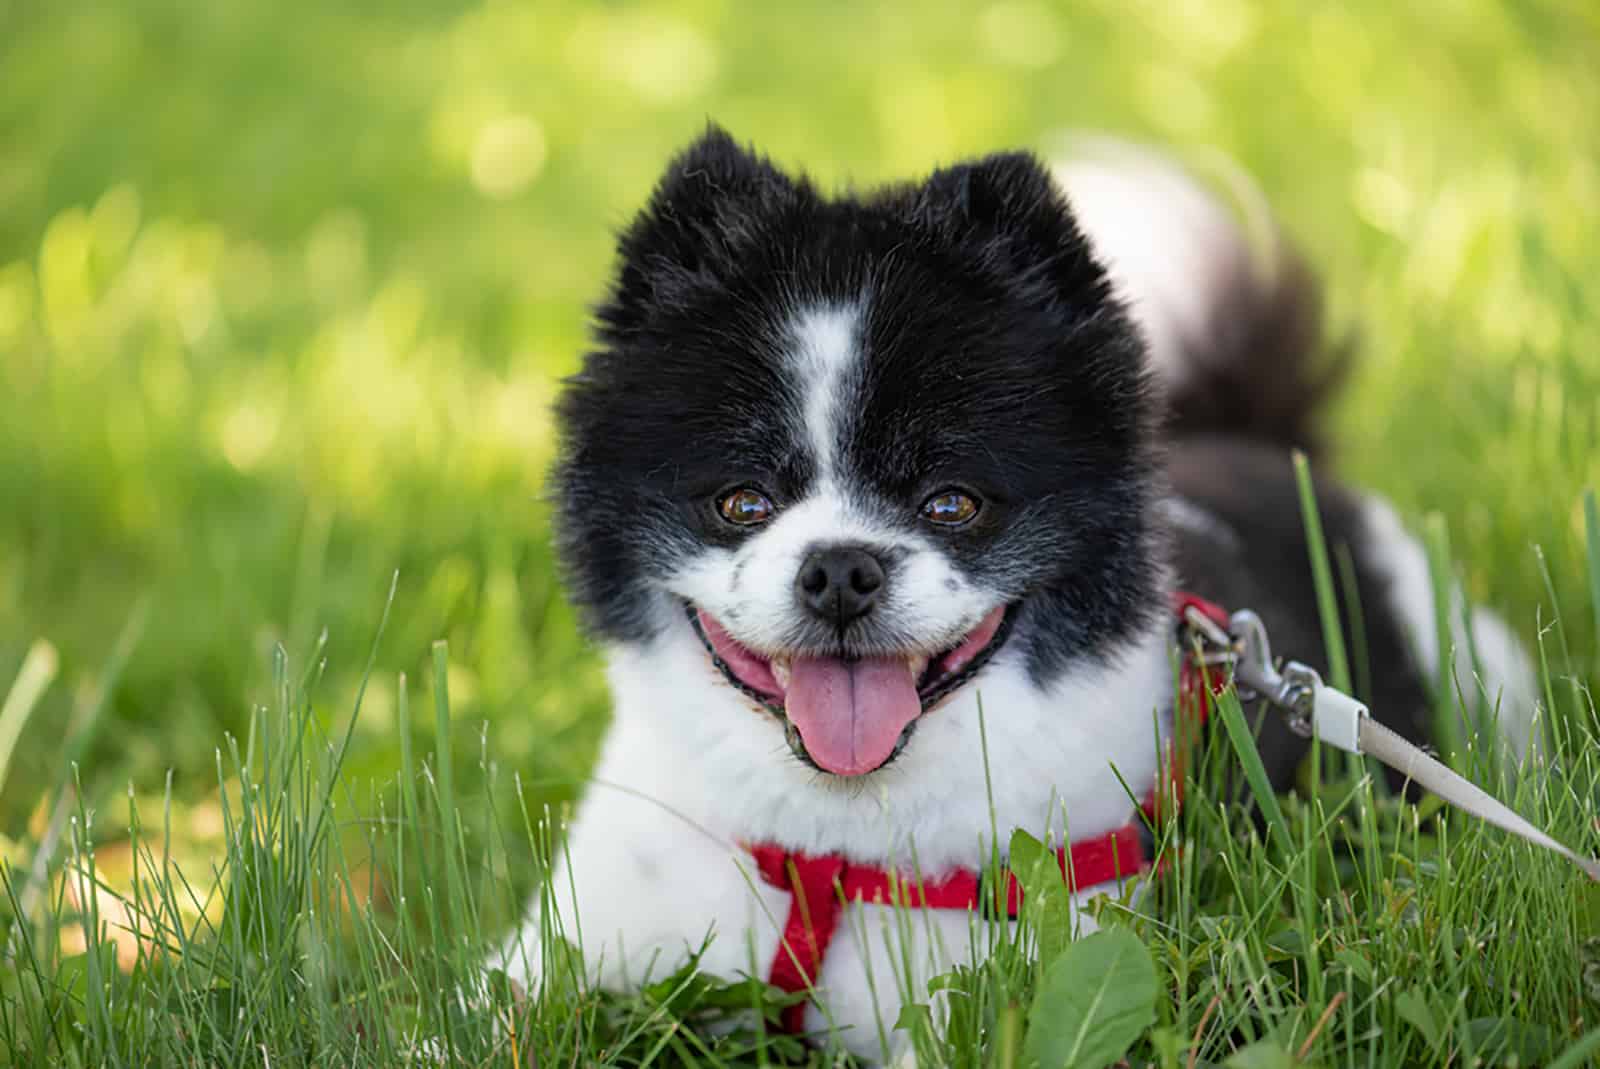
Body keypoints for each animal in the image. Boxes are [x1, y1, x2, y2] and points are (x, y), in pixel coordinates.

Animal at [502, 127, 1536, 1062]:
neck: (835, 855)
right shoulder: (573, 945)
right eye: (742, 501)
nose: (840, 568)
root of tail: (1254, 438)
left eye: (952, 501)